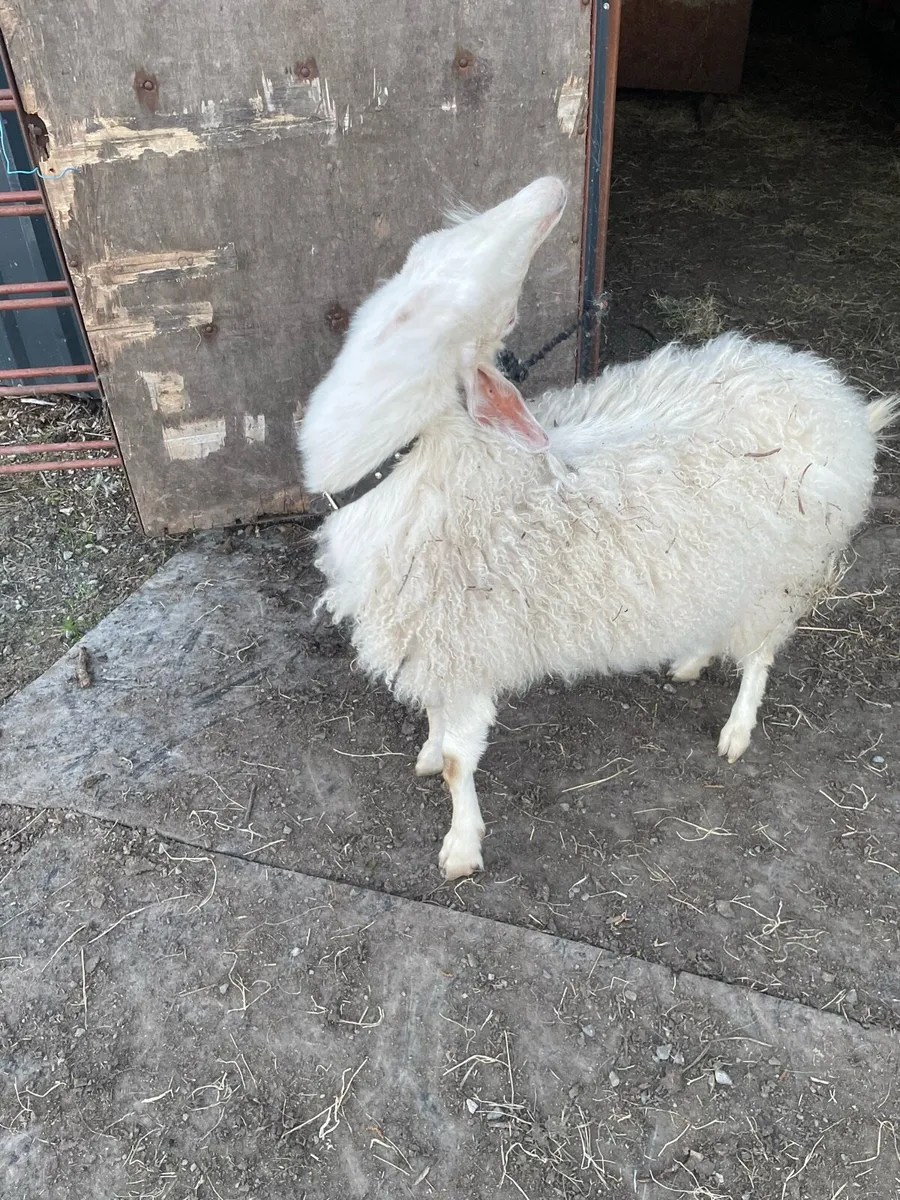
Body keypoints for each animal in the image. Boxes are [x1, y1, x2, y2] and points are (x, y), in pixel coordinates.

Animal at [298, 176, 896, 880]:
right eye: (426, 276)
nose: (552, 191)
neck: (417, 463)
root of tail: (843, 404)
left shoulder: (468, 639)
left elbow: (457, 760)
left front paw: (462, 846)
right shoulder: (441, 642)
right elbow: (437, 720)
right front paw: (426, 754)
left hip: (782, 573)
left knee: (758, 655)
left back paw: (737, 728)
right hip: (731, 566)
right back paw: (690, 660)